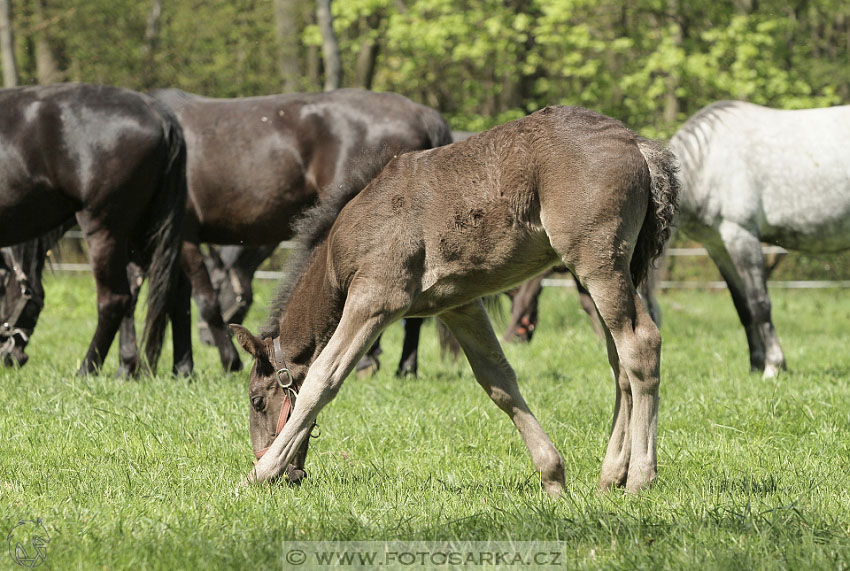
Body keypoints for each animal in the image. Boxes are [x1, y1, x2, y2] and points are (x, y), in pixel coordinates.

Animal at [0, 81, 185, 376]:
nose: (12, 357)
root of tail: (157, 112)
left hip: (104, 229)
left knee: (115, 300)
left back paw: (88, 369)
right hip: (144, 231)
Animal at [230, 106, 676, 496]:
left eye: (257, 401)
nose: (292, 476)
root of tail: (636, 143)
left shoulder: (375, 299)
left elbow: (322, 379)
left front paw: (257, 475)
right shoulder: (459, 306)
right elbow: (498, 380)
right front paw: (552, 477)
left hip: (597, 264)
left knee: (640, 346)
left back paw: (640, 478)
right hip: (610, 272)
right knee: (619, 364)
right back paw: (610, 476)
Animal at [656, 101, 848, 380]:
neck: (707, 162)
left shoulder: (741, 235)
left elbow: (760, 303)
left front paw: (774, 366)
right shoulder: (717, 246)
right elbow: (743, 307)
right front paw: (756, 364)